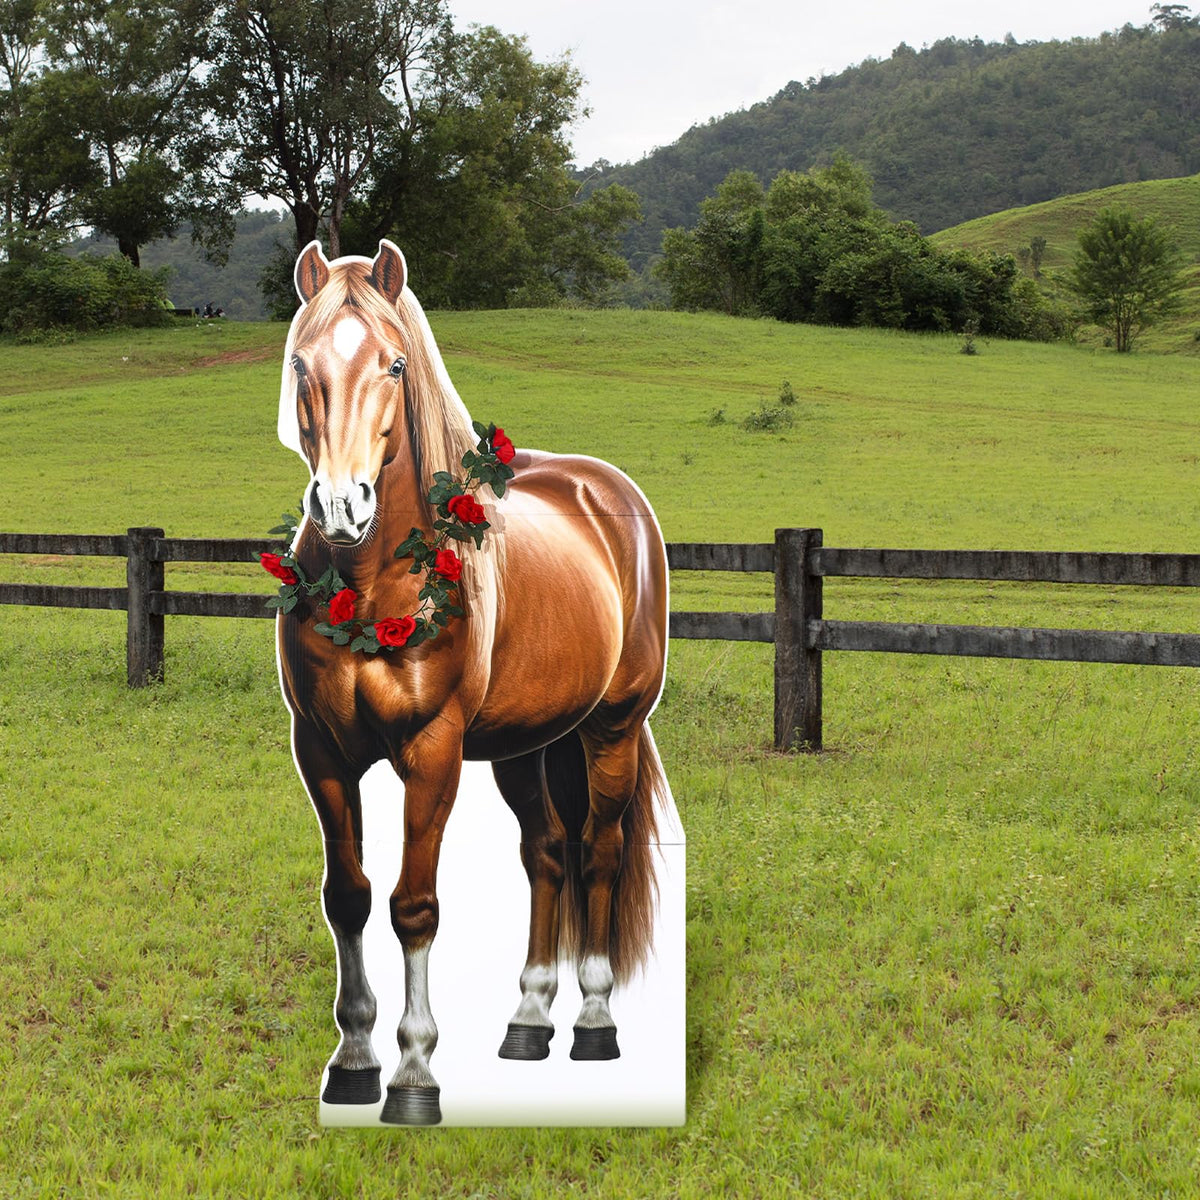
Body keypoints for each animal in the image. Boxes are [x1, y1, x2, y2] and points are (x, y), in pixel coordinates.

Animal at [274, 239, 670, 1125]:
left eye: (393, 363)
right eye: (301, 362)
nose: (342, 506)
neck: (373, 585)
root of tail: (612, 490)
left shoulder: (432, 752)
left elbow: (413, 907)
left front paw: (414, 1076)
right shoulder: (321, 752)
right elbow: (347, 896)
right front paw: (353, 1063)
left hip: (614, 727)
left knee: (598, 851)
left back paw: (594, 1022)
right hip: (526, 746)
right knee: (547, 853)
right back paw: (528, 1018)